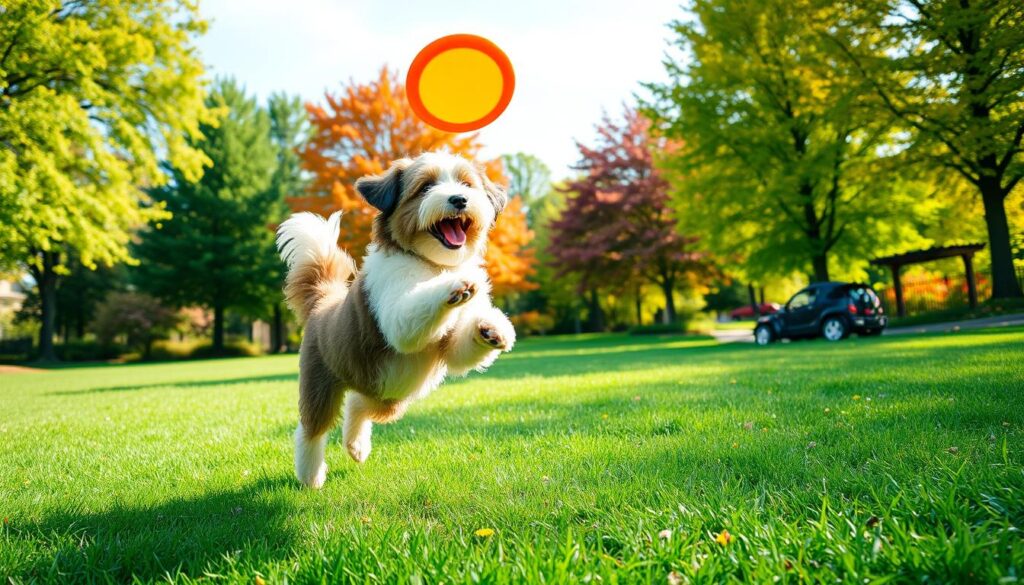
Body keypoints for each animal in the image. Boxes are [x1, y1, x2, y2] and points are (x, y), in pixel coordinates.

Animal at [276, 152, 516, 489]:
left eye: (467, 184)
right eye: (425, 187)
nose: (458, 199)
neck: (430, 263)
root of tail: (323, 300)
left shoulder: (450, 344)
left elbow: (460, 350)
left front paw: (493, 327)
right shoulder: (394, 313)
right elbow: (408, 314)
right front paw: (454, 285)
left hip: (390, 395)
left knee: (359, 404)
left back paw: (357, 446)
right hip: (319, 381)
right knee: (311, 429)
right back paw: (311, 476)